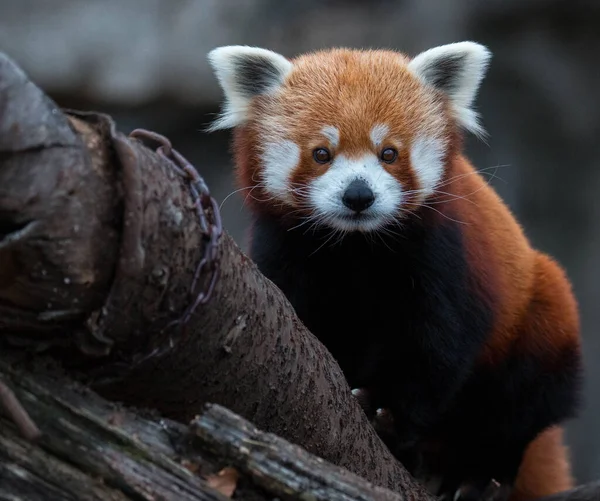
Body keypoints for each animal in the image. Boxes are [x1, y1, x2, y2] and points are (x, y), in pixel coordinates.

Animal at [205, 43, 580, 500]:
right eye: (321, 153)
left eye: (389, 153)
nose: (358, 195)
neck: (356, 247)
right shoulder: (285, 251)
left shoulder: (443, 259)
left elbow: (433, 347)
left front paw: (384, 412)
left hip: (541, 317)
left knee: (519, 406)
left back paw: (475, 474)